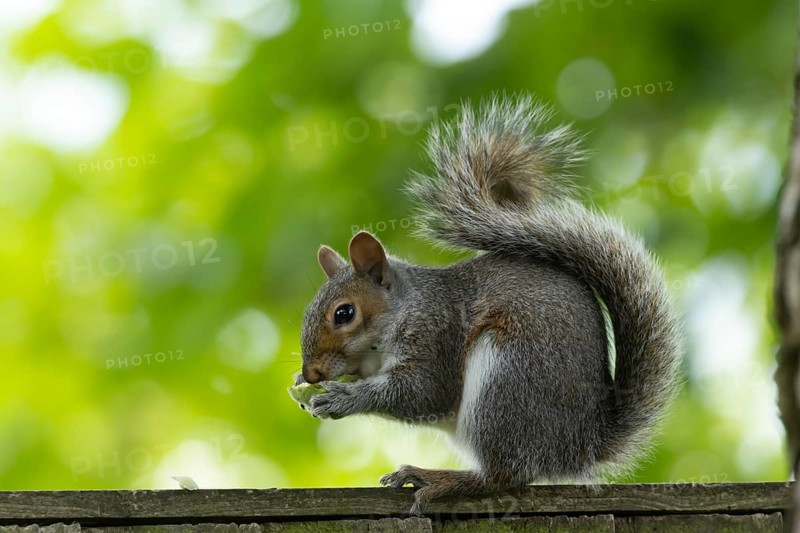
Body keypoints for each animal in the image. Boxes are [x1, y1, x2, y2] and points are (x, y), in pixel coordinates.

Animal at [297, 95, 682, 515]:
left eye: (344, 313)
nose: (311, 372)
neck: (403, 311)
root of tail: (580, 444)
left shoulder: (436, 335)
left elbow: (423, 392)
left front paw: (344, 397)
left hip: (506, 376)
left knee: (503, 476)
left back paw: (439, 480)